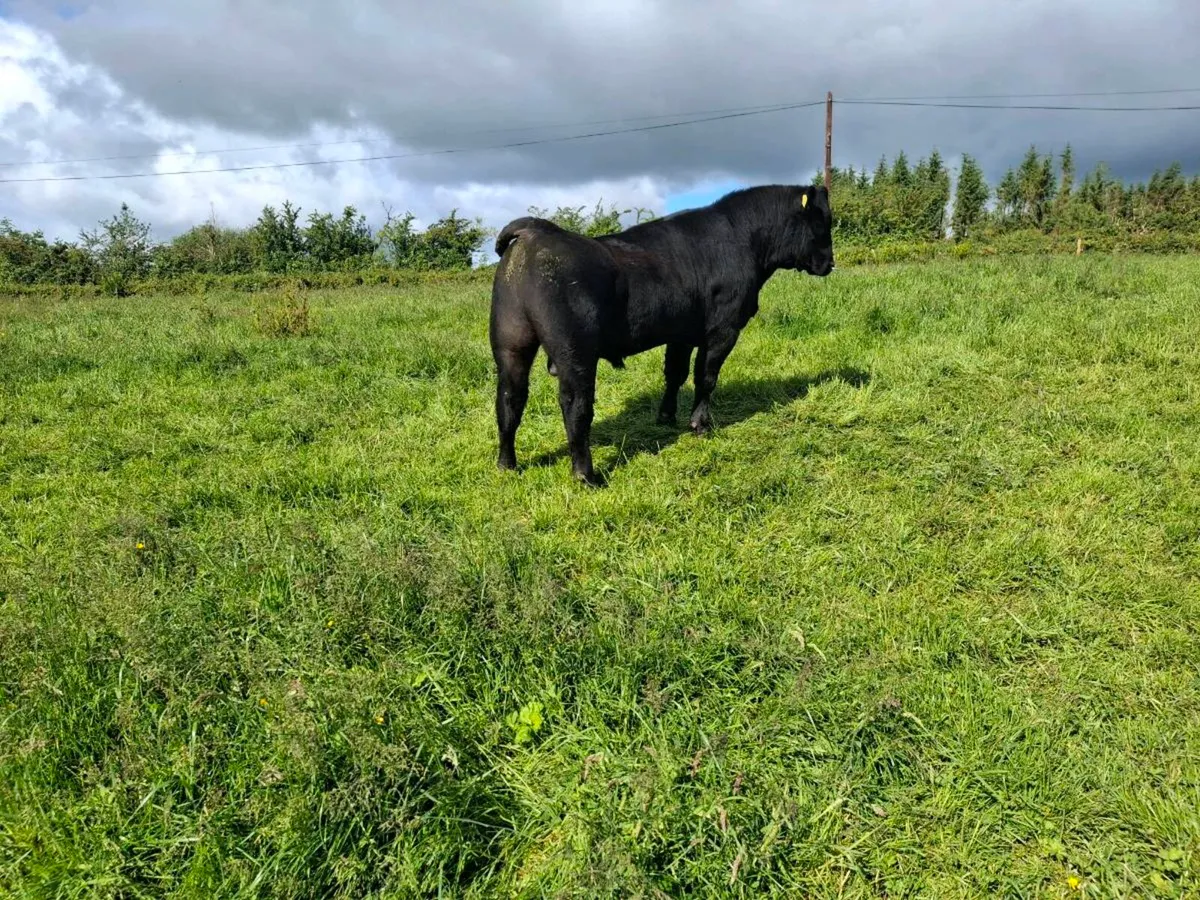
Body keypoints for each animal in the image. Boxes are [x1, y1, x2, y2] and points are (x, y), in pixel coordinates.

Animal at [489, 182, 835, 486]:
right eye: (822, 221)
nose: (830, 263)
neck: (743, 239)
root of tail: (536, 230)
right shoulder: (723, 329)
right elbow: (705, 377)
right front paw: (700, 425)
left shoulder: (680, 333)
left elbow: (675, 374)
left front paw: (666, 416)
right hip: (575, 353)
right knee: (576, 407)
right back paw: (587, 475)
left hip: (511, 344)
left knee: (509, 400)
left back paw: (507, 465)